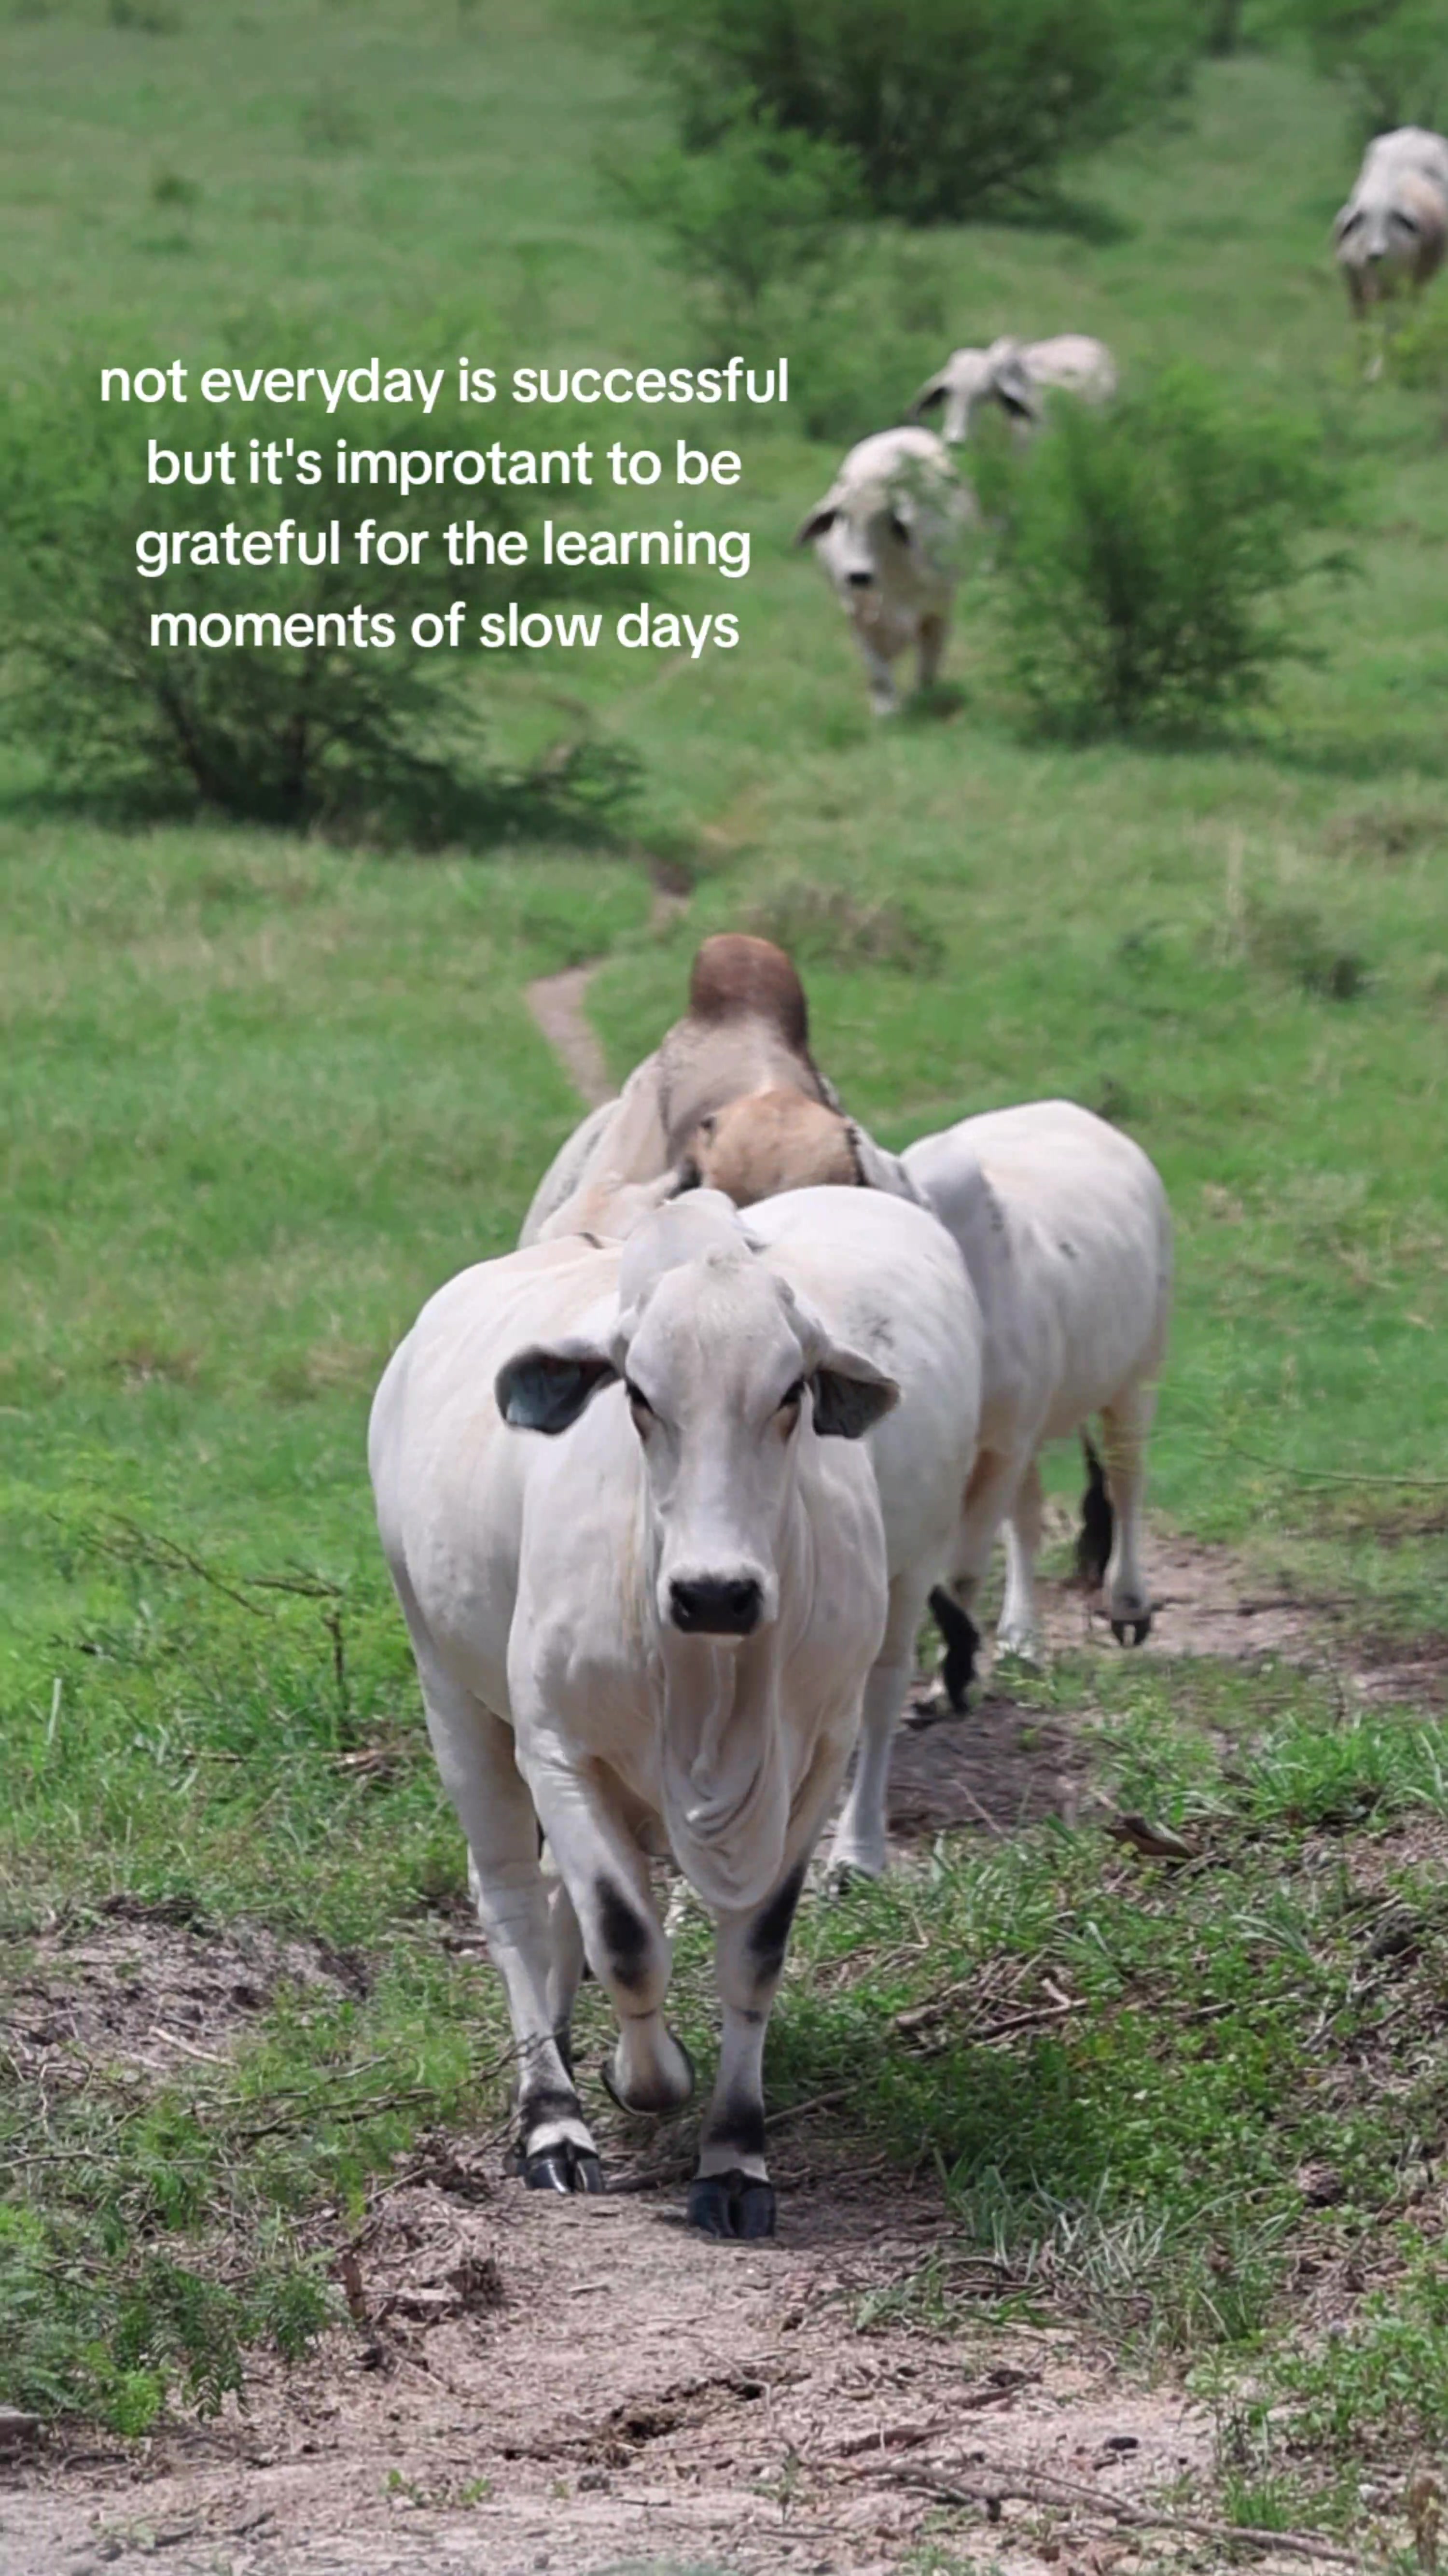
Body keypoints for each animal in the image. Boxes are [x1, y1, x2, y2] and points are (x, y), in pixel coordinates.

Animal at [370, 1191, 930, 2235]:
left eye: (789, 1393)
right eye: (638, 1394)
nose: (715, 1592)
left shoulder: (816, 1764)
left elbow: (753, 1953)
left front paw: (735, 2156)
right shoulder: (557, 1747)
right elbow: (627, 1943)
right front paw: (640, 2080)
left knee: (562, 1904)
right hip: (452, 1693)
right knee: (513, 1898)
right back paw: (550, 2114)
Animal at [796, 427, 972, 715]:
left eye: (889, 519)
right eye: (842, 517)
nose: (858, 575)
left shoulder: (937, 611)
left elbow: (930, 659)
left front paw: (926, 698)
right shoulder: (857, 617)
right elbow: (877, 669)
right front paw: (886, 709)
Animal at [901, 1101, 1173, 1711]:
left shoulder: (1001, 1444)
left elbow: (962, 1568)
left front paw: (947, 1681)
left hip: (1136, 1375)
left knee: (1127, 1480)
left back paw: (1128, 1601)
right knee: (1027, 1522)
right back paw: (1021, 1638)